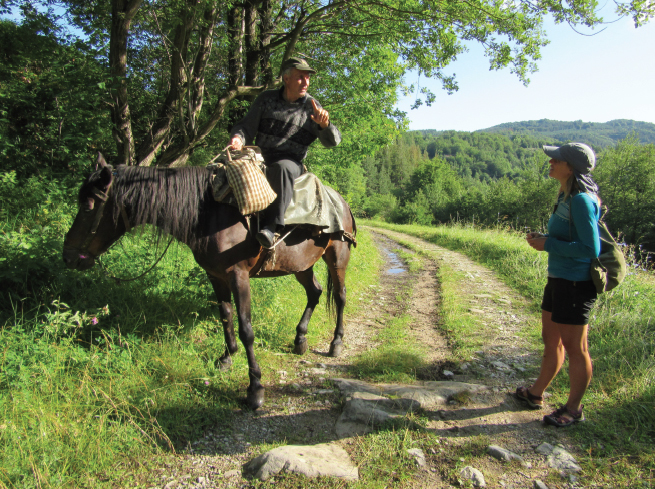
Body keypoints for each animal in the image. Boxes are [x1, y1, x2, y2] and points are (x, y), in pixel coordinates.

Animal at [64, 156, 356, 408]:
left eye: (88, 206)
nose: (69, 256)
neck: (209, 214)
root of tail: (341, 201)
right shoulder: (215, 276)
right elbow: (225, 316)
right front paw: (227, 358)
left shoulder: (238, 276)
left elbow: (246, 329)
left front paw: (255, 388)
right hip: (301, 265)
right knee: (315, 292)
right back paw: (300, 338)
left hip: (337, 258)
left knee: (340, 296)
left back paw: (336, 343)